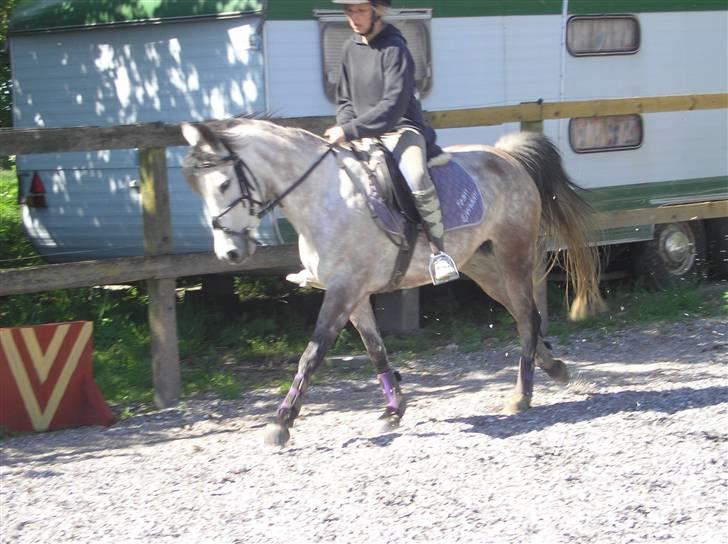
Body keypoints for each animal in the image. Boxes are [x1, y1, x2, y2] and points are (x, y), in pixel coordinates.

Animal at [179, 118, 600, 446]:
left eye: (223, 185)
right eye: (198, 189)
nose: (229, 253)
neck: (322, 199)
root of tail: (508, 157)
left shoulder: (344, 290)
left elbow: (311, 355)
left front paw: (281, 423)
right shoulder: (355, 294)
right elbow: (376, 350)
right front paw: (394, 410)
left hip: (513, 255)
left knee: (527, 315)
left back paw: (521, 395)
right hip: (482, 266)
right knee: (523, 314)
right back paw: (553, 367)